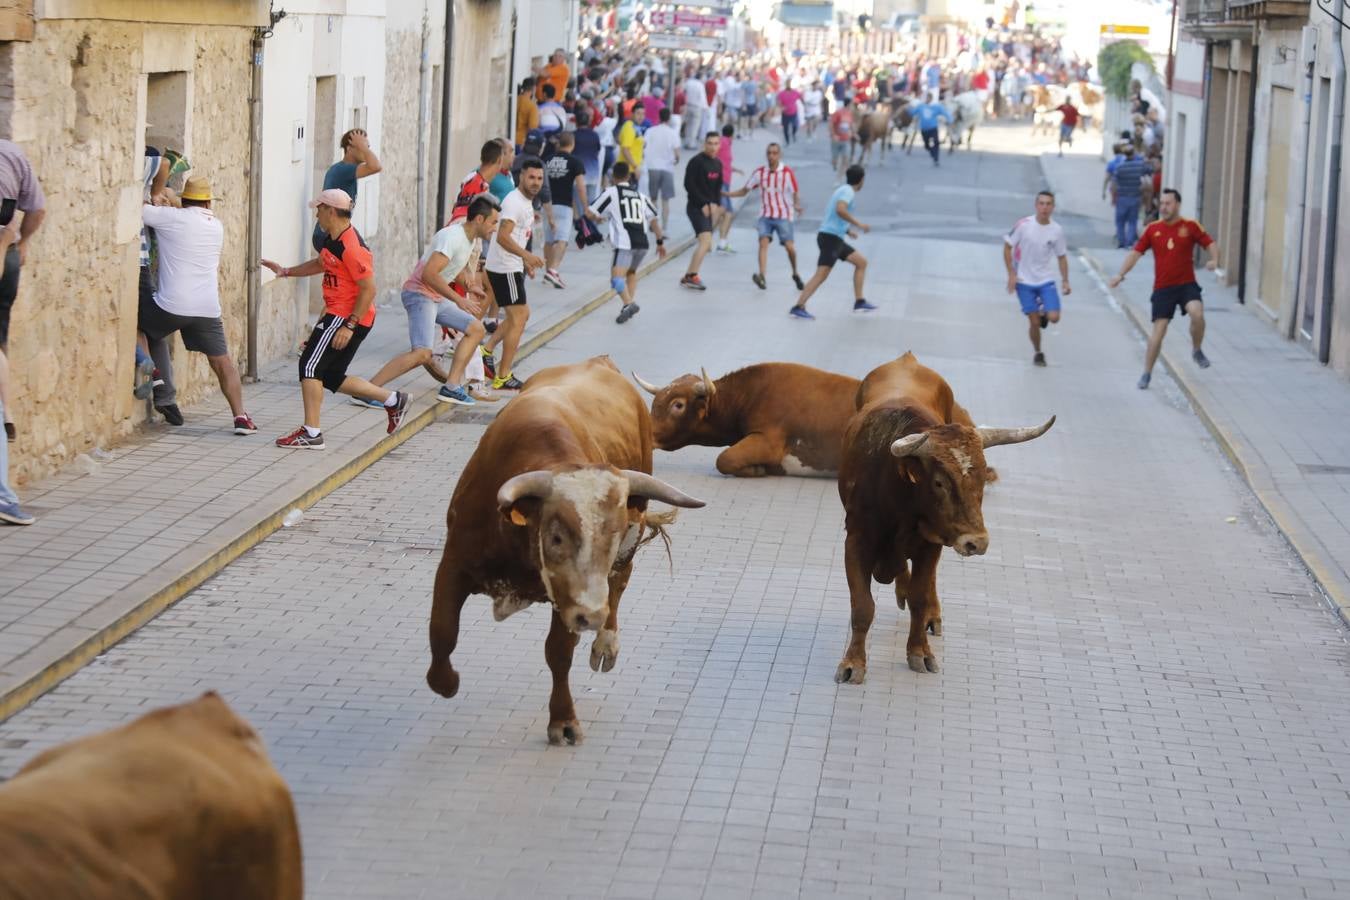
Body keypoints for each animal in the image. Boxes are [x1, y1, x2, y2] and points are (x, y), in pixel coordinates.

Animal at [429, 356, 707, 744]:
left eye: (612, 535)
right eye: (557, 537)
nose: (592, 616)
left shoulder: (572, 599)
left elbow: (558, 653)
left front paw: (562, 720)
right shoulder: (454, 563)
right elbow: (442, 631)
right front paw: (446, 682)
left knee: (620, 581)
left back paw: (606, 644)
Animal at [831, 350, 1053, 682]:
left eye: (981, 479)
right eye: (939, 482)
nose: (977, 542)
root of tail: (907, 359)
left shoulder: (929, 543)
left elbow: (920, 598)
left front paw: (920, 652)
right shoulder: (857, 541)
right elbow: (862, 606)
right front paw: (853, 663)